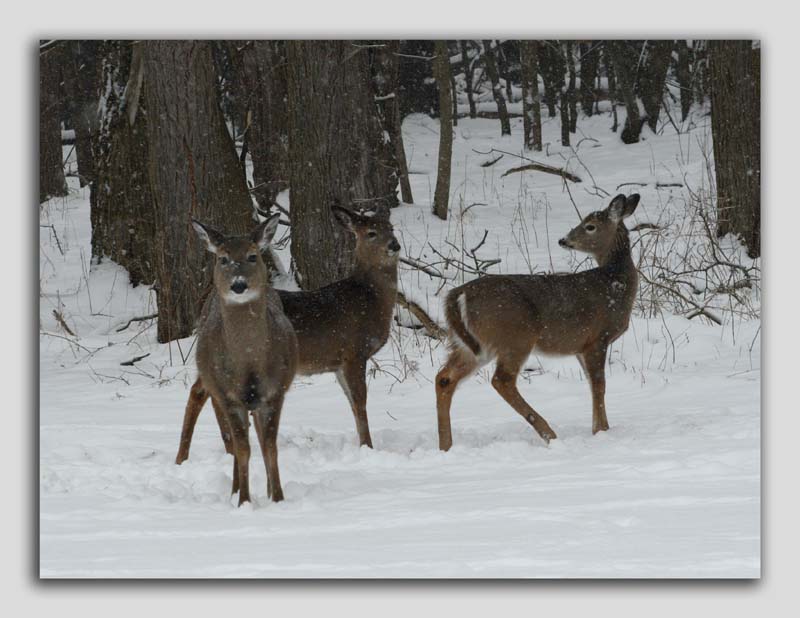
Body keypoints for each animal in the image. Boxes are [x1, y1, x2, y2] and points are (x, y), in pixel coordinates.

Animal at [175, 202, 400, 462]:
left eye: (391, 228)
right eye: (371, 233)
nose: (394, 245)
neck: (370, 299)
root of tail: (206, 305)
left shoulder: (338, 362)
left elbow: (352, 403)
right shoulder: (354, 351)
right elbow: (361, 402)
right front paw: (368, 447)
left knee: (202, 392)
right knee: (200, 392)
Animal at [192, 214, 298, 502]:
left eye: (252, 256)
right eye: (222, 258)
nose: (238, 285)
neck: (249, 364)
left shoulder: (275, 392)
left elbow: (270, 447)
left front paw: (278, 498)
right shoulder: (227, 396)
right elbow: (242, 450)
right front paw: (243, 501)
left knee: (259, 439)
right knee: (235, 442)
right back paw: (235, 490)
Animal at [434, 191, 640, 448]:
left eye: (590, 226)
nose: (563, 240)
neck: (616, 283)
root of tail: (457, 294)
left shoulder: (581, 347)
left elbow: (592, 384)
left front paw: (600, 429)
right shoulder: (597, 337)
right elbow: (599, 385)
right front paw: (602, 431)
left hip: (472, 344)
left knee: (444, 378)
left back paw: (445, 445)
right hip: (516, 336)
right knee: (502, 380)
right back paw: (548, 433)